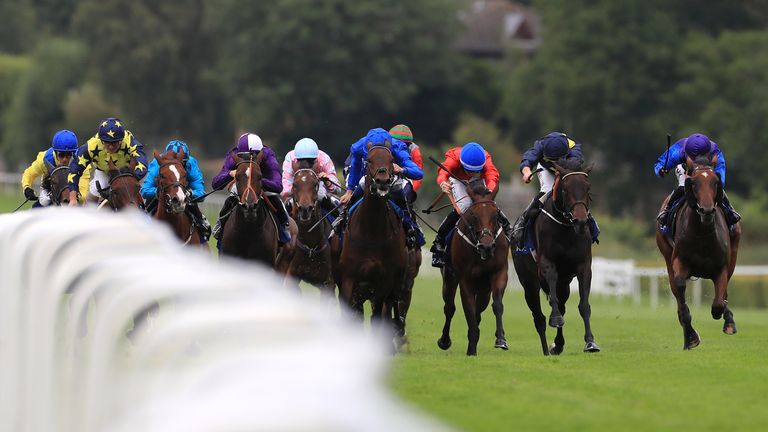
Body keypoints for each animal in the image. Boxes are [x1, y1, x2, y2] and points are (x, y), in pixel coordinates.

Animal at [280, 166, 332, 296]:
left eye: (315, 184)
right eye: (295, 184)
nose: (305, 210)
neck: (311, 246)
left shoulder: (328, 283)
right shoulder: (290, 276)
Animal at [338, 142, 408, 338]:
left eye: (391, 159)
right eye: (369, 160)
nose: (382, 181)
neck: (371, 232)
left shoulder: (383, 282)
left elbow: (377, 316)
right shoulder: (348, 279)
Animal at [438, 181, 510, 356]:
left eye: (495, 215)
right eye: (473, 215)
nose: (487, 247)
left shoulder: (499, 273)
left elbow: (497, 305)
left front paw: (501, 340)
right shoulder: (465, 281)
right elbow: (468, 310)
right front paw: (471, 350)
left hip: (484, 289)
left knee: (479, 309)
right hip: (449, 279)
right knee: (449, 307)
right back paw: (444, 341)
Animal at [512, 160, 604, 356]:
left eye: (588, 187)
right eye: (565, 188)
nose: (581, 221)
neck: (565, 227)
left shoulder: (584, 267)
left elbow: (584, 306)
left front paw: (590, 342)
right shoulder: (548, 265)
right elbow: (553, 304)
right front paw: (555, 319)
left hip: (565, 284)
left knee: (561, 306)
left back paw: (557, 345)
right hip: (529, 283)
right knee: (538, 316)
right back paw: (546, 349)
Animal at [656, 154, 740, 350]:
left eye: (715, 182)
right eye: (694, 183)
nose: (706, 210)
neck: (703, 234)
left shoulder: (721, 267)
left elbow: (718, 303)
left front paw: (725, 317)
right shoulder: (679, 262)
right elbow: (680, 289)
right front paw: (691, 337)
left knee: (724, 293)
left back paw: (729, 321)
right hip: (667, 255)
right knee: (678, 294)